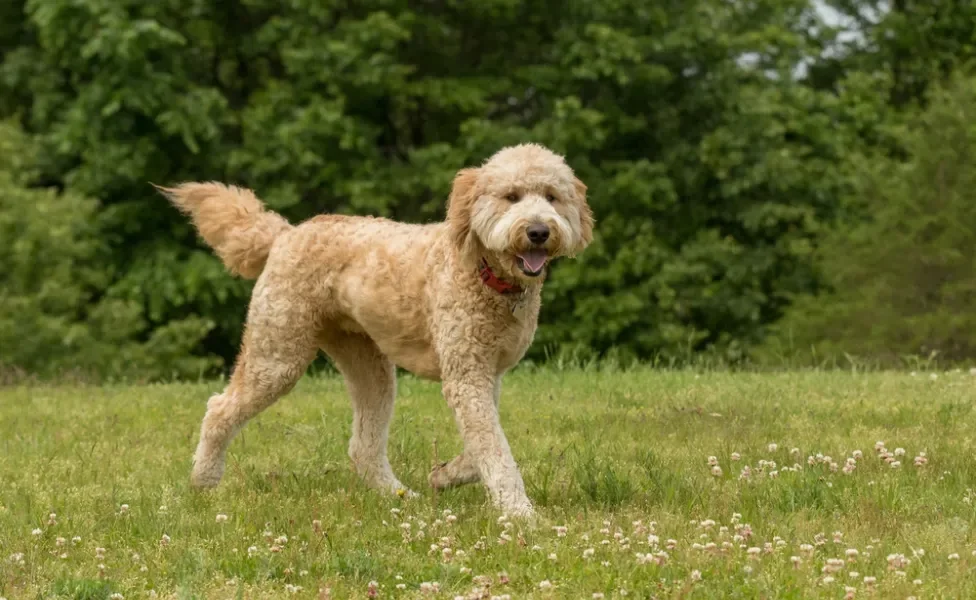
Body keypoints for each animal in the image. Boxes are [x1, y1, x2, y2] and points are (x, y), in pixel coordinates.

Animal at [158, 144, 596, 516]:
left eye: (552, 197)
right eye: (511, 196)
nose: (539, 231)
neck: (483, 272)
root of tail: (285, 233)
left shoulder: (486, 374)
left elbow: (483, 444)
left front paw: (446, 475)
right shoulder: (467, 375)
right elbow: (494, 449)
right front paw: (519, 513)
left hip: (368, 365)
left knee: (363, 447)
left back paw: (399, 496)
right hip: (277, 352)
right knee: (219, 408)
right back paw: (203, 480)